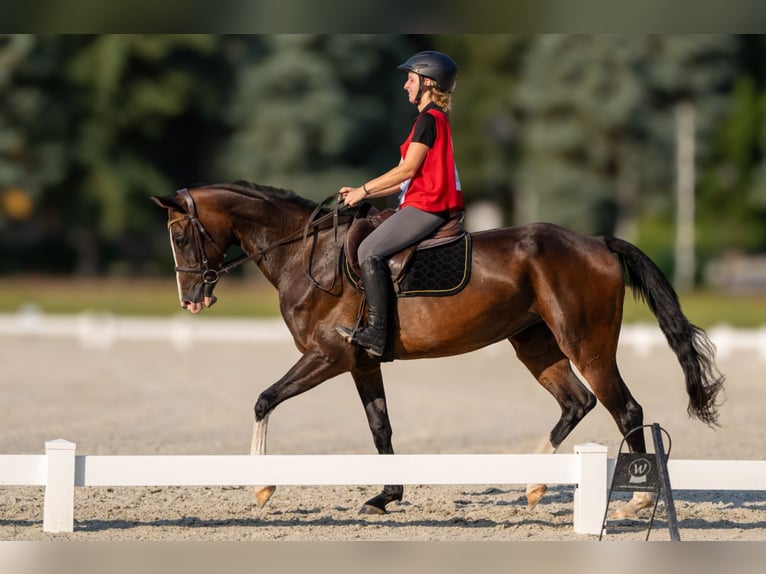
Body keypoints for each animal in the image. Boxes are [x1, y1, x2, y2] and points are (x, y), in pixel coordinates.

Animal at [153, 182, 728, 520]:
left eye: (181, 237)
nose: (191, 300)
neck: (305, 253)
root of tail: (597, 242)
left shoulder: (328, 355)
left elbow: (264, 400)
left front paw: (261, 487)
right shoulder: (360, 362)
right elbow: (380, 428)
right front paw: (387, 495)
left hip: (586, 344)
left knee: (624, 408)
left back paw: (638, 498)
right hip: (535, 343)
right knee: (576, 403)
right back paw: (534, 485)